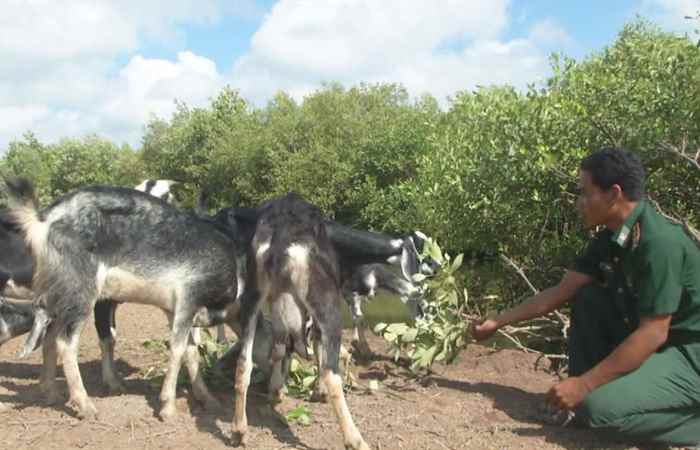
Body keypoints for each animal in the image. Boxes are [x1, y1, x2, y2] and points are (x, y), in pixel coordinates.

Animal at [3, 178, 241, 420]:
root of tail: (42, 220)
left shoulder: (174, 310)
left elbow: (191, 351)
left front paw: (207, 399)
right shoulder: (188, 298)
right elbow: (177, 348)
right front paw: (168, 409)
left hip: (64, 295)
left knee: (50, 337)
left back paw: (50, 393)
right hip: (82, 291)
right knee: (65, 342)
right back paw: (86, 406)